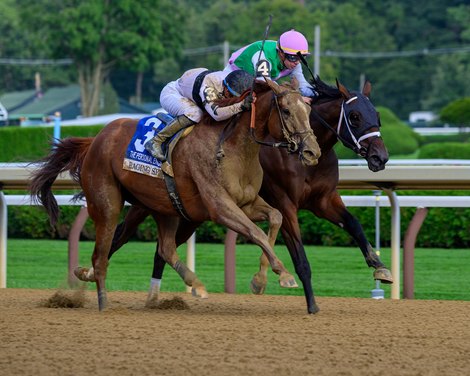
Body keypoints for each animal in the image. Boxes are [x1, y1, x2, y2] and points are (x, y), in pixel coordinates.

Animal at [31, 79, 322, 312]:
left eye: (309, 110)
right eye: (286, 110)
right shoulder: (219, 206)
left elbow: (275, 218)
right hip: (107, 203)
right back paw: (101, 298)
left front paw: (260, 280)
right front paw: (284, 274)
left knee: (166, 248)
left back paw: (195, 285)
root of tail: (95, 140)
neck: (232, 149)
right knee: (103, 251)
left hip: (165, 205)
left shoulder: (247, 203)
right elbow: (256, 232)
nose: (312, 152)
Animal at [78, 76, 392, 314]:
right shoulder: (284, 203)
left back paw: (151, 296)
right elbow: (295, 254)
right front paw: (307, 301)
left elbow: (353, 224)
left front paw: (380, 267)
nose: (381, 157)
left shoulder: (323, 200)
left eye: (377, 116)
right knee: (118, 237)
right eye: (354, 116)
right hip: (142, 204)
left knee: (160, 249)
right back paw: (90, 277)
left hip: (185, 213)